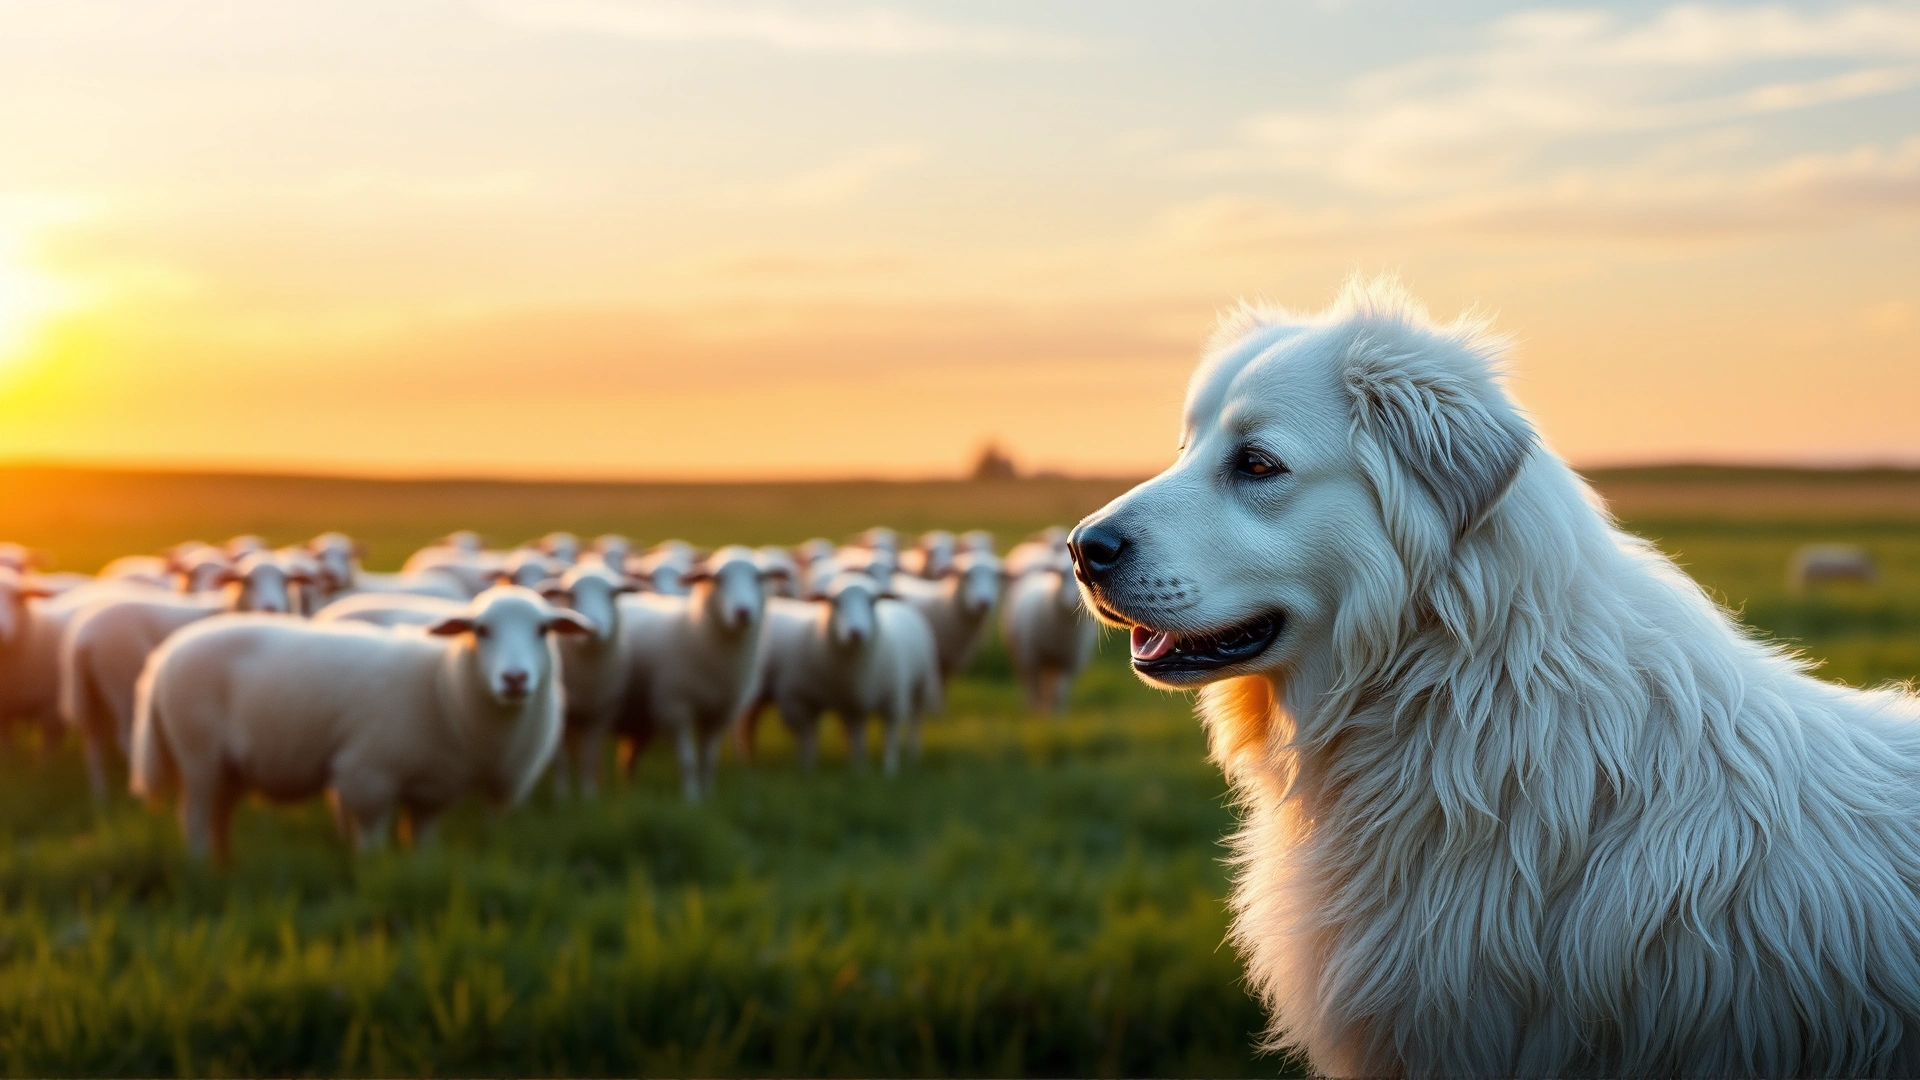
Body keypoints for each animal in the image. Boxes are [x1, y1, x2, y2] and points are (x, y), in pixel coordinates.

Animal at [60, 552, 296, 799]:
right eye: (246, 580)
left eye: (287, 580)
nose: (271, 608)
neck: (226, 610)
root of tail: (82, 638)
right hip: (121, 684)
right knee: (125, 738)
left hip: (91, 696)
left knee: (94, 744)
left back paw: (100, 798)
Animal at [130, 585, 588, 862]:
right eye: (481, 630)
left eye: (544, 629)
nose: (515, 679)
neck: (444, 686)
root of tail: (161, 660)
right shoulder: (368, 773)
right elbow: (370, 839)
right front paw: (371, 869)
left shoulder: (432, 787)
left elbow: (421, 839)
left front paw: (420, 869)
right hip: (198, 752)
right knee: (194, 815)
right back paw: (201, 867)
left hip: (229, 764)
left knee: (218, 814)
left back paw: (225, 864)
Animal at [607, 545, 768, 800]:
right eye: (717, 578)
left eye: (759, 577)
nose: (743, 612)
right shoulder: (676, 708)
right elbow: (688, 761)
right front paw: (692, 799)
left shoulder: (719, 714)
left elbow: (709, 760)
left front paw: (709, 795)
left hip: (639, 719)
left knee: (628, 759)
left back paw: (629, 794)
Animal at [745, 571, 941, 774]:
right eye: (835, 602)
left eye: (872, 601)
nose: (856, 633)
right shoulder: (839, 703)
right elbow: (839, 735)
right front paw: (854, 768)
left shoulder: (891, 701)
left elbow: (889, 736)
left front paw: (889, 769)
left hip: (920, 684)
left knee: (915, 720)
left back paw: (913, 754)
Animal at [1000, 559, 1097, 716]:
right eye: (1062, 575)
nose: (1076, 600)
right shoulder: (1033, 657)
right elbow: (1036, 688)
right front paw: (1036, 713)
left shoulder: (1068, 662)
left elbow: (1059, 692)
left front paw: (1056, 716)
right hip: (1022, 654)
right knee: (1027, 682)